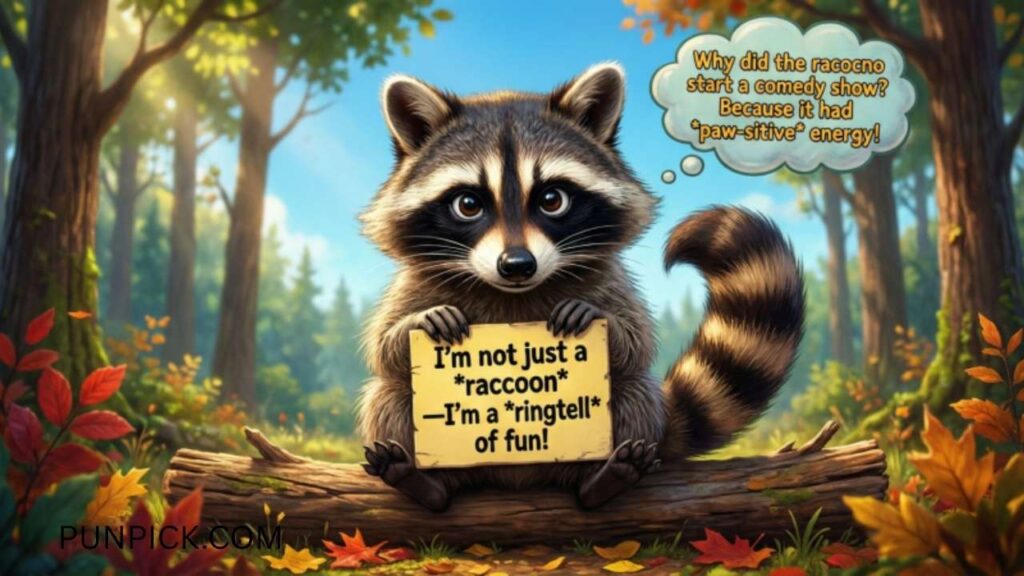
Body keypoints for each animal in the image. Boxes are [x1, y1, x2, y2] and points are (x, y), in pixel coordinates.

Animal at [357, 63, 804, 511]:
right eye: (468, 205)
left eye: (552, 199)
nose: (517, 265)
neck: (513, 293)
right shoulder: (414, 282)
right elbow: (384, 348)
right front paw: (420, 322)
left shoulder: (610, 278)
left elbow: (635, 343)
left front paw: (600, 320)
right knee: (388, 396)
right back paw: (425, 483)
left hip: (631, 416)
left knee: (634, 393)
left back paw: (601, 481)